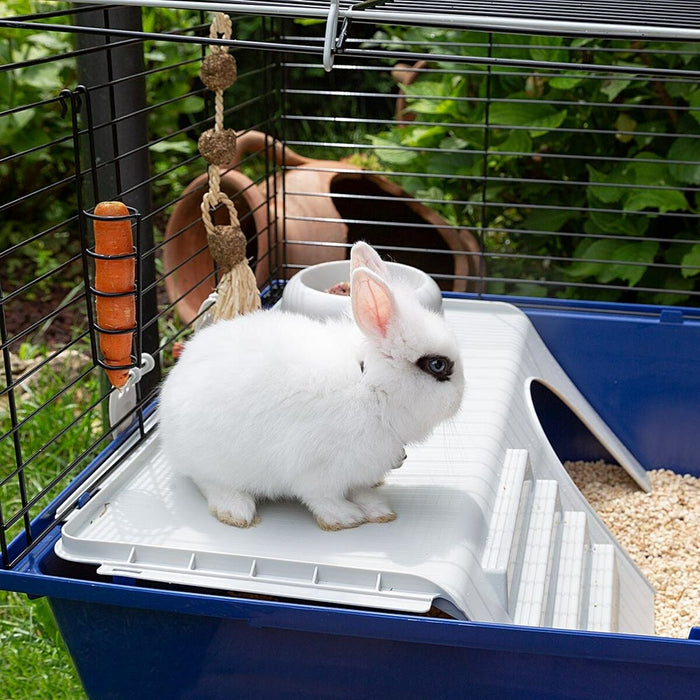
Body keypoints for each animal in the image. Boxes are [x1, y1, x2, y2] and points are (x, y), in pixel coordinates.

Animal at [158, 242, 465, 531]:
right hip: (215, 461)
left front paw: (378, 509)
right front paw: (346, 517)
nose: (460, 399)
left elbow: (360, 491)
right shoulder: (315, 470)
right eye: (437, 365)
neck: (370, 387)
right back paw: (236, 511)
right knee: (209, 483)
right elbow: (322, 498)